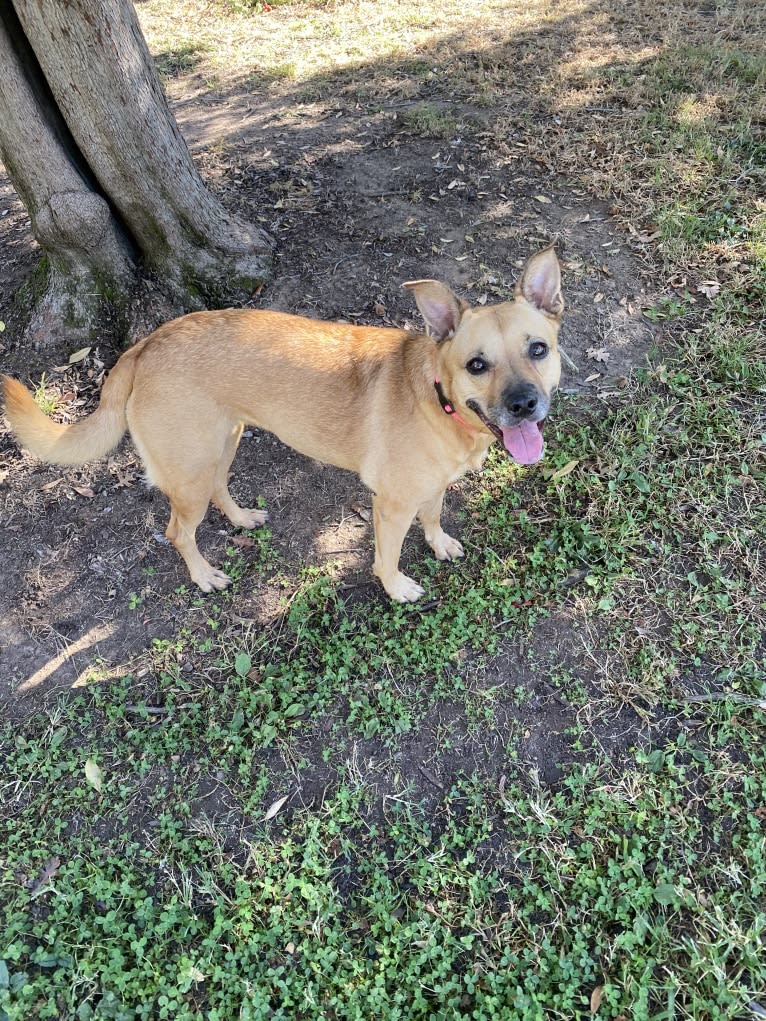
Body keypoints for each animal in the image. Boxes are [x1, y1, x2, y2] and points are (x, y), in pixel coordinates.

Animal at [0, 245, 563, 596]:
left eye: (538, 349)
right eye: (477, 365)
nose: (523, 405)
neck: (436, 394)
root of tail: (143, 345)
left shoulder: (430, 488)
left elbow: (435, 515)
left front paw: (440, 541)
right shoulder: (391, 505)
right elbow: (387, 556)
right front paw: (396, 587)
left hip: (223, 442)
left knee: (220, 489)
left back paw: (242, 519)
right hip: (189, 470)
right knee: (178, 531)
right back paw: (204, 576)